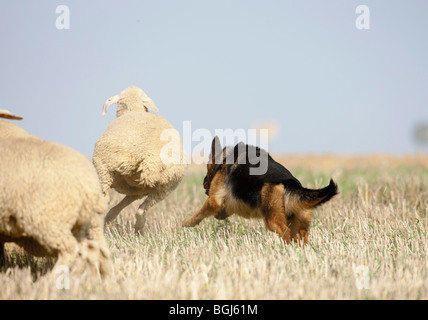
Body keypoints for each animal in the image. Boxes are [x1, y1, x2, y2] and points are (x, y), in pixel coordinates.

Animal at [93, 85, 187, 232]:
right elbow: (119, 207)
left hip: (103, 168)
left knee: (105, 200)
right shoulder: (138, 191)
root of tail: (151, 156)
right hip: (166, 186)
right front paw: (109, 219)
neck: (133, 108)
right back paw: (138, 229)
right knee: (141, 209)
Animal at [181, 136, 338, 245]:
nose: (203, 182)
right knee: (301, 236)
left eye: (207, 168)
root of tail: (292, 184)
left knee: (286, 233)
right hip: (299, 223)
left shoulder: (214, 200)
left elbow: (199, 213)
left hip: (272, 219)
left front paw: (187, 222)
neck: (224, 160)